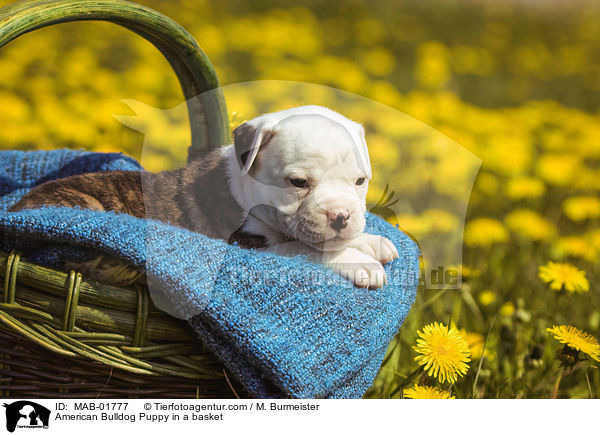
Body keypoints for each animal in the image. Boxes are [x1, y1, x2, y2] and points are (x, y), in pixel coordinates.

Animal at [9, 106, 398, 290]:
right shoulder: (247, 244)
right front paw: (359, 261)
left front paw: (371, 241)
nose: (341, 216)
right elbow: (306, 249)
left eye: (360, 181)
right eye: (298, 182)